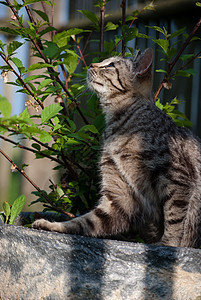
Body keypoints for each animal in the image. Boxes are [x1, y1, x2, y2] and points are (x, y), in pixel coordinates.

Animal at [33, 48, 201, 246]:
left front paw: (168, 246)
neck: (117, 121)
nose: (91, 64)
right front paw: (53, 226)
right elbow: (84, 222)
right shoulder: (119, 196)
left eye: (111, 65)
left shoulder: (177, 177)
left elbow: (174, 219)